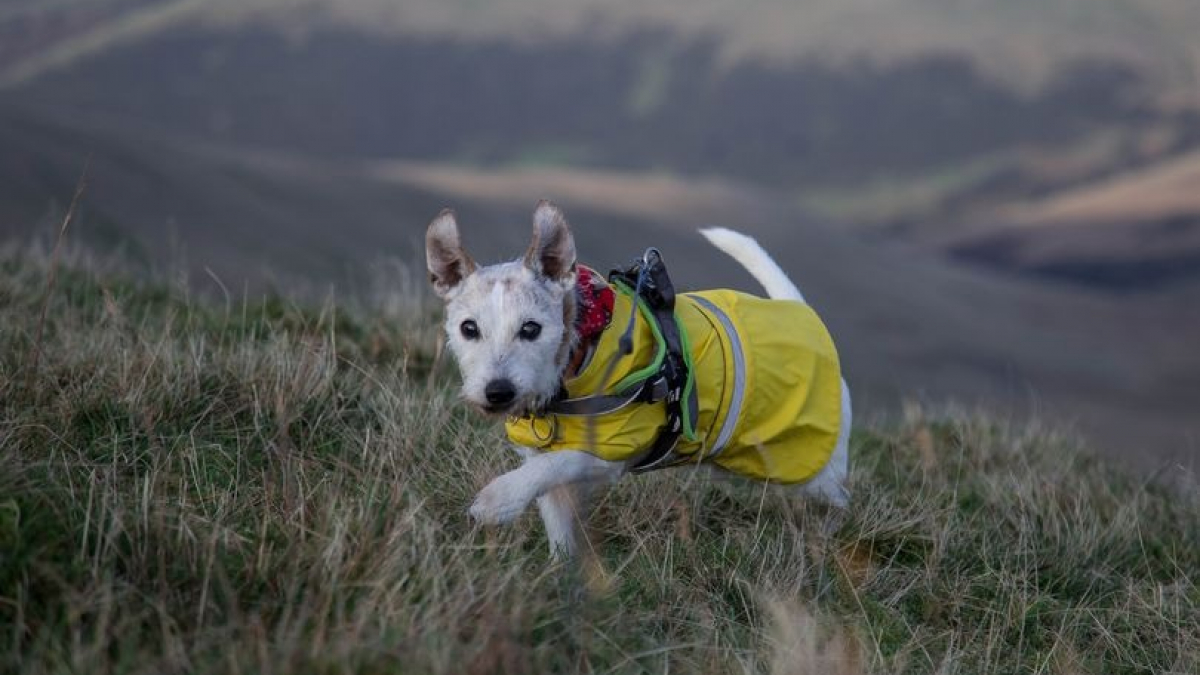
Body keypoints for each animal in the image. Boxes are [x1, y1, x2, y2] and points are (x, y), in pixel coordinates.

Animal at [427, 200, 849, 557]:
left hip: (810, 469)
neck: (578, 351)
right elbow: (551, 502)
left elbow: (555, 465)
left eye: (531, 329)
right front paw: (562, 574)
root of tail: (798, 310)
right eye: (468, 328)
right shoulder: (539, 456)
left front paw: (497, 500)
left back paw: (829, 533)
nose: (497, 392)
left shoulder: (610, 451)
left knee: (840, 499)